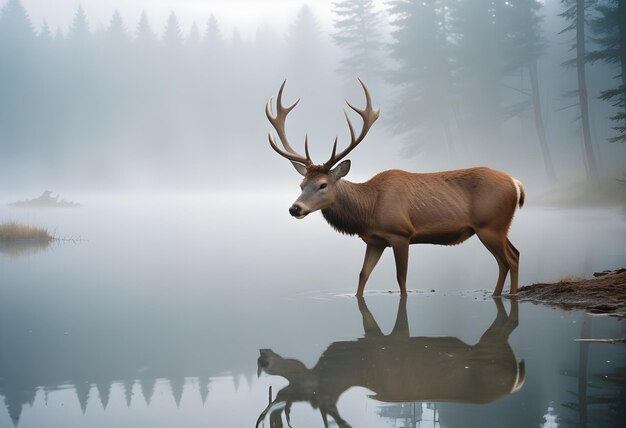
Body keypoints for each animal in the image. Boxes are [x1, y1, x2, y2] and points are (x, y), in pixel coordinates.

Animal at [264, 78, 520, 296]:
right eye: (301, 184)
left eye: (322, 184)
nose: (295, 208)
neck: (368, 210)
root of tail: (517, 184)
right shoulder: (375, 241)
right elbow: (362, 276)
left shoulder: (401, 233)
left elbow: (401, 279)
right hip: (497, 227)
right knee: (512, 256)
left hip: (490, 225)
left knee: (509, 259)